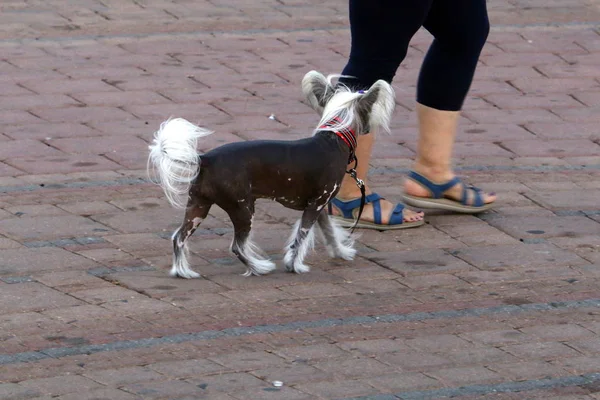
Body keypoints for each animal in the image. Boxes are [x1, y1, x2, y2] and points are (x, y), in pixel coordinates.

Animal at [148, 71, 396, 278]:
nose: (369, 129)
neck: (333, 138)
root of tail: (205, 159)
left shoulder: (320, 206)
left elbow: (329, 232)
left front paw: (340, 252)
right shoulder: (316, 205)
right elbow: (301, 237)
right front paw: (294, 266)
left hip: (198, 206)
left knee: (179, 238)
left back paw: (183, 272)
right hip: (242, 209)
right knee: (236, 246)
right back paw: (259, 268)